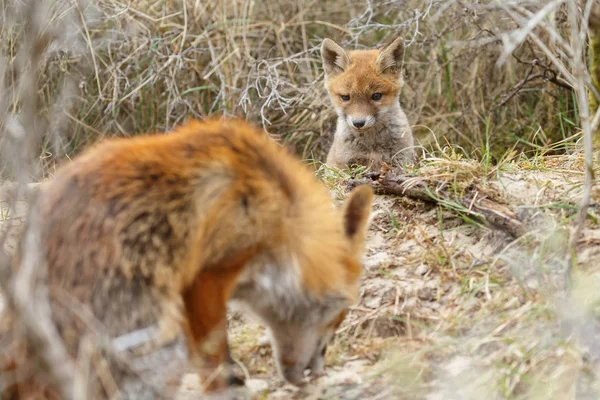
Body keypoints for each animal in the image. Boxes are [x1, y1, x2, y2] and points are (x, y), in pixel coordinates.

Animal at [322, 35, 414, 170]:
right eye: (345, 97)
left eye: (376, 96)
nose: (358, 123)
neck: (372, 145)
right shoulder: (344, 163)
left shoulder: (402, 158)